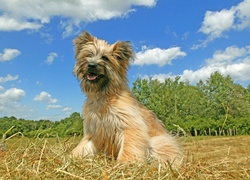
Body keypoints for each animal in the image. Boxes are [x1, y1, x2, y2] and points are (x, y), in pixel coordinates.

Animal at [71, 31, 183, 167]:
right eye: (89, 55)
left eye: (105, 58)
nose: (91, 65)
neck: (104, 95)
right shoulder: (94, 131)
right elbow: (83, 146)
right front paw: (73, 157)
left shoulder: (130, 125)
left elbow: (129, 146)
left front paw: (125, 162)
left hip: (159, 141)